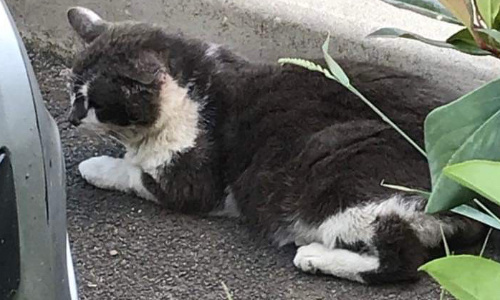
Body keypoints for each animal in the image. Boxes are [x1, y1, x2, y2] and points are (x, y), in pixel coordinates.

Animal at [66, 6, 484, 284]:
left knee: (403, 259)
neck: (192, 93)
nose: (70, 119)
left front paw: (97, 166)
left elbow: (132, 172)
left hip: (336, 167)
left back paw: (312, 256)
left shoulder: (192, 181)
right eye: (72, 93)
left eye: (90, 101)